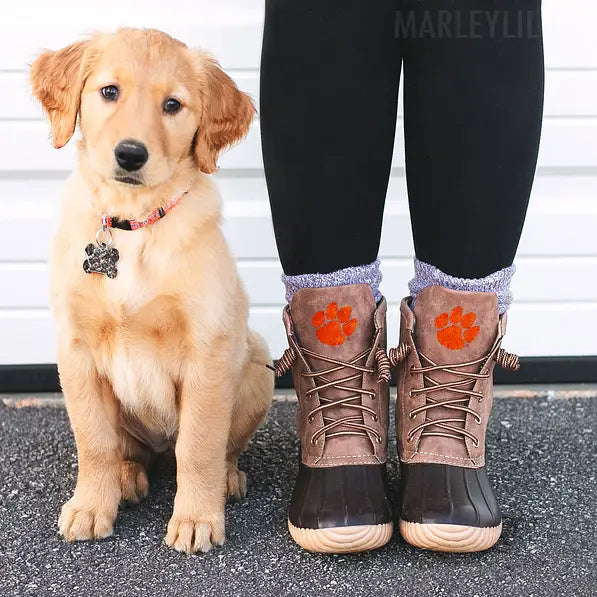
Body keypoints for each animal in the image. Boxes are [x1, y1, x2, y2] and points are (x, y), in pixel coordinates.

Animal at [31, 29, 274, 556]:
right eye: (109, 91)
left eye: (172, 105)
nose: (130, 154)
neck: (133, 222)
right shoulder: (75, 350)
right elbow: (94, 441)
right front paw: (90, 507)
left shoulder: (207, 348)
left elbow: (199, 444)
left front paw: (197, 518)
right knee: (130, 451)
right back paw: (126, 478)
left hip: (257, 360)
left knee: (216, 448)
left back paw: (226, 479)